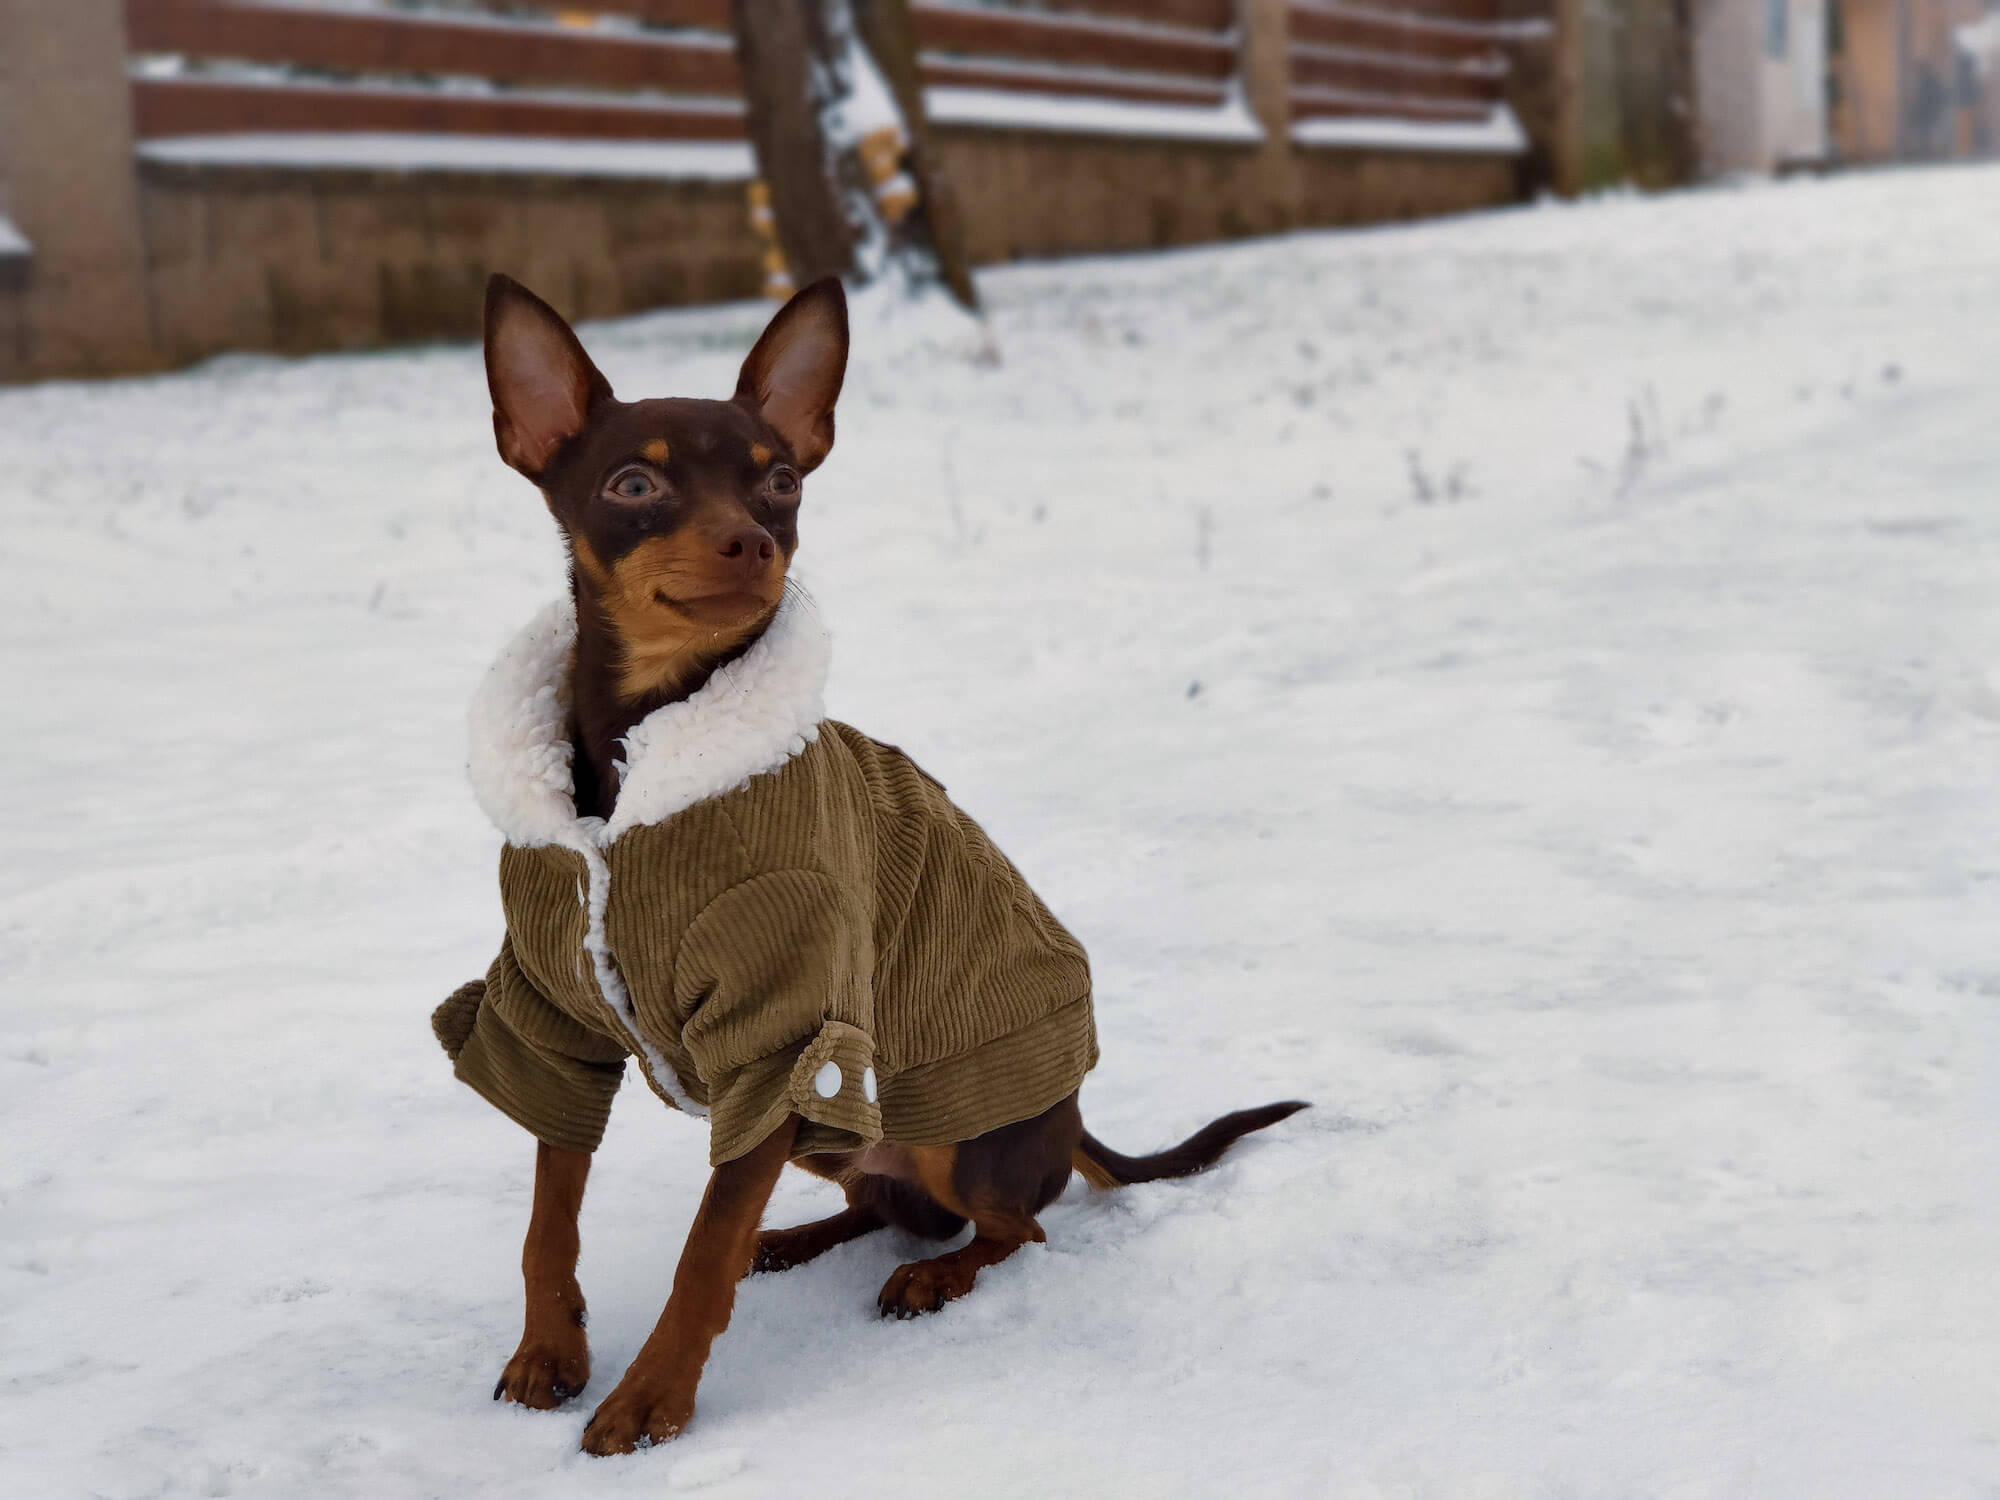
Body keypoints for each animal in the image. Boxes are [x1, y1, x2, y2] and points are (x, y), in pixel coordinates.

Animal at [438, 274, 1304, 1456]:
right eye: (633, 483)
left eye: (781, 480)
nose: (752, 541)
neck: (640, 762)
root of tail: (1071, 1118)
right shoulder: (553, 1026)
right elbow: (549, 1216)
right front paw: (548, 1353)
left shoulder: (790, 1037)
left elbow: (697, 1256)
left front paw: (649, 1400)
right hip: (837, 1130)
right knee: (878, 1207)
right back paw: (792, 1242)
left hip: (938, 1128)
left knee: (1012, 1227)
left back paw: (933, 1279)